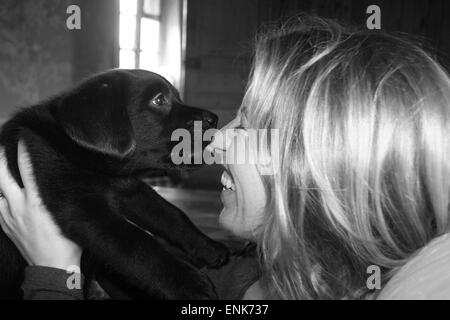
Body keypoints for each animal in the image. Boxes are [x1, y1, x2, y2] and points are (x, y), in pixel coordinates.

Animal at [0, 69, 230, 298]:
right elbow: (140, 244)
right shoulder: (86, 210)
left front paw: (208, 247)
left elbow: (172, 214)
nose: (214, 119)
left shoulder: (131, 190)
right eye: (158, 100)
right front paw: (191, 284)